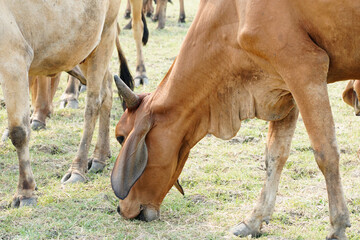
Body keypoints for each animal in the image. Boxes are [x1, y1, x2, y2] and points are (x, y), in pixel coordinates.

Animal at [0, 0, 122, 206]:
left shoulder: (13, 60)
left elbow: (19, 132)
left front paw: (25, 191)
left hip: (106, 34)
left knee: (93, 103)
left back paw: (77, 169)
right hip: (82, 50)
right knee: (107, 91)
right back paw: (100, 157)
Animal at [110, 0, 358, 239]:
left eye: (121, 137)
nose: (122, 209)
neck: (232, 12)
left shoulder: (304, 67)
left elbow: (325, 152)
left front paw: (337, 226)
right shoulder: (284, 87)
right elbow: (275, 156)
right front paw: (254, 220)